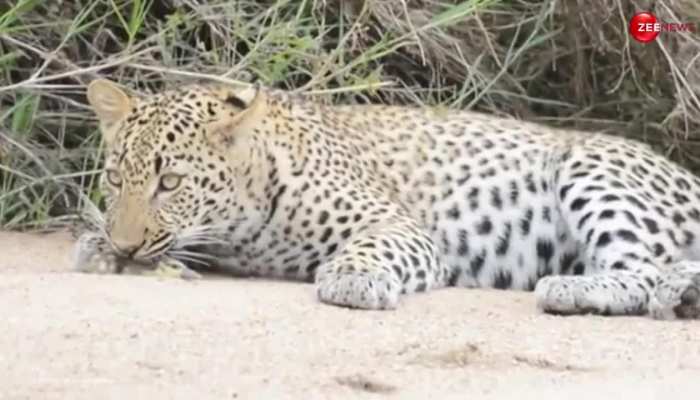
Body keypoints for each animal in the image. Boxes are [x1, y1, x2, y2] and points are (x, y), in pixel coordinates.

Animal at [76, 79, 700, 318]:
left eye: (171, 183)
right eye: (116, 178)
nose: (126, 249)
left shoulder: (399, 226)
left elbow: (372, 248)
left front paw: (352, 278)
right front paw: (98, 246)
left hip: (591, 167)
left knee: (646, 270)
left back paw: (576, 289)